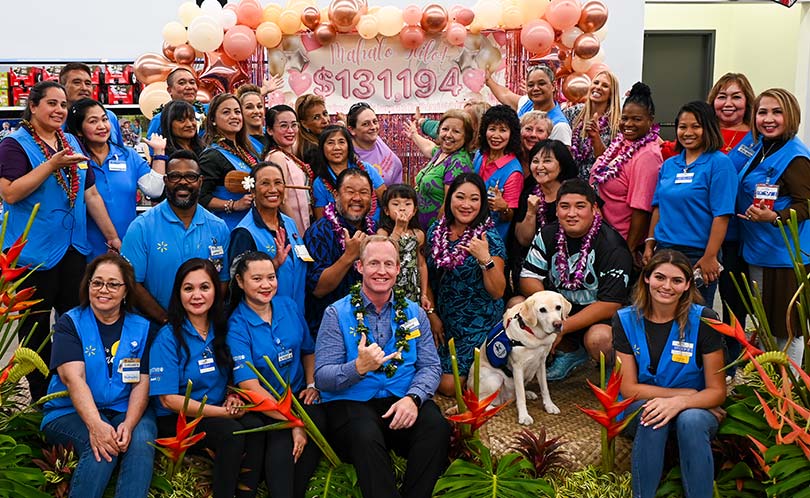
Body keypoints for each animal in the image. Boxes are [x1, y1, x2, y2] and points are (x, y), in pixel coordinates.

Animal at [464, 292, 572, 424]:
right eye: (542, 310)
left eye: (558, 307)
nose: (557, 324)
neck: (533, 334)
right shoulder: (518, 368)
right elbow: (520, 396)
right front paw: (524, 416)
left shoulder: (541, 363)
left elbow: (544, 388)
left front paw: (549, 405)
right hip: (495, 378)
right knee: (481, 403)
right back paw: (490, 410)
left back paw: (528, 393)